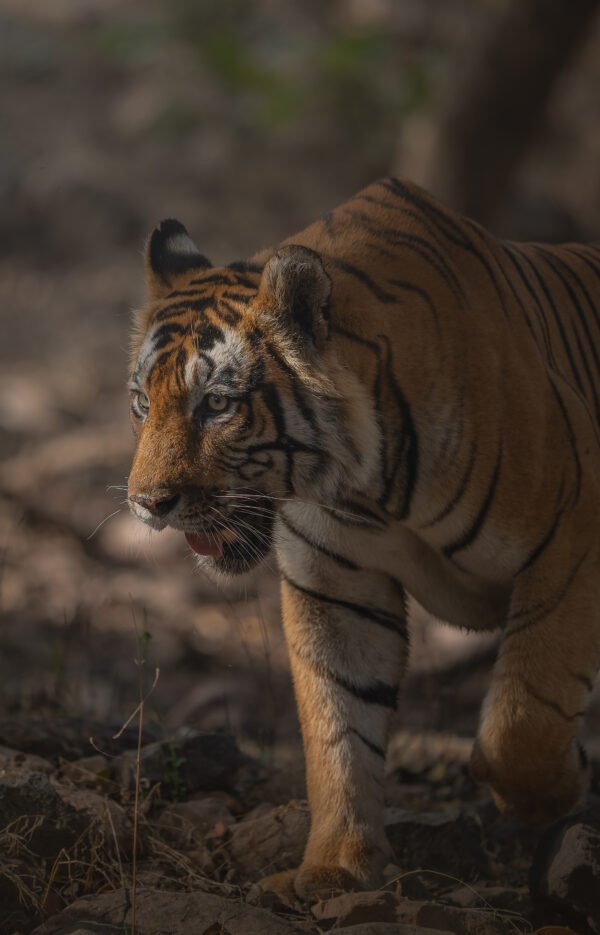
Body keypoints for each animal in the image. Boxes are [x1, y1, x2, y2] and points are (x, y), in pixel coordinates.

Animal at [127, 177, 600, 900]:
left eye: (218, 404)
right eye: (141, 403)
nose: (147, 503)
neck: (369, 482)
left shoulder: (573, 537)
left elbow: (522, 719)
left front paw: (556, 793)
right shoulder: (335, 585)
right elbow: (338, 724)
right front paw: (334, 868)